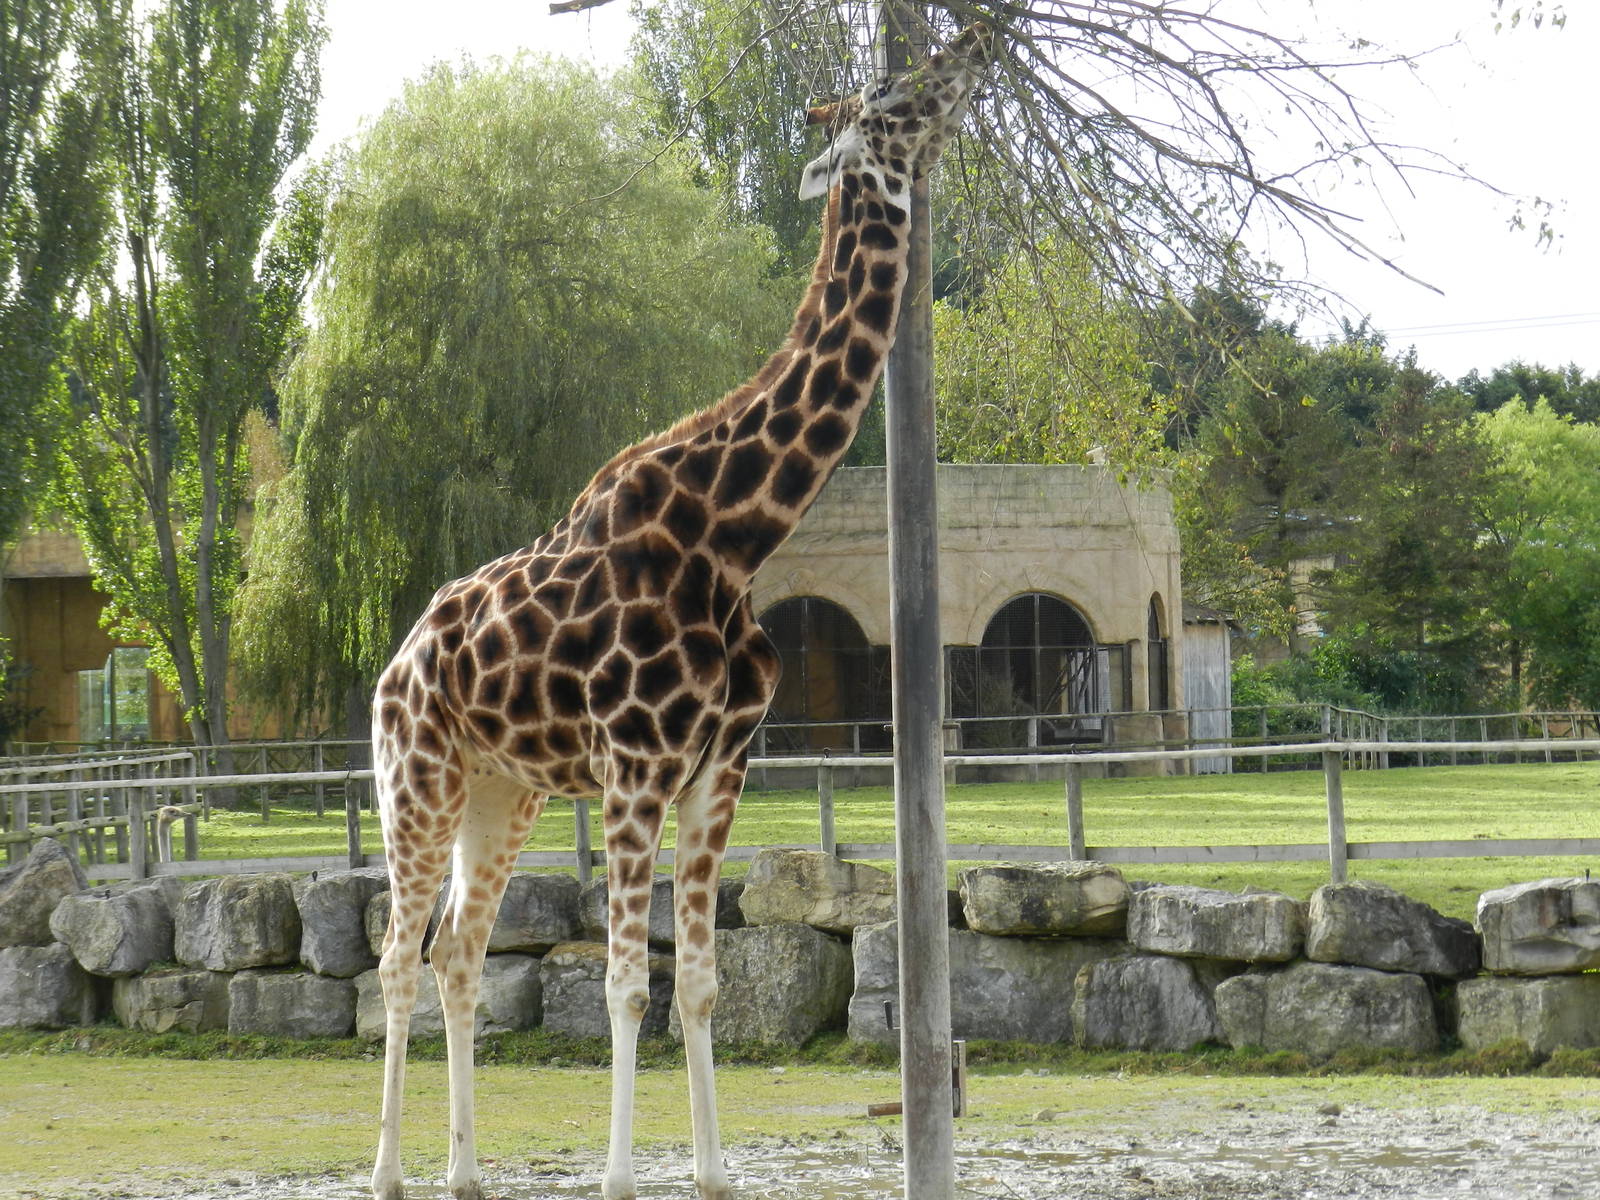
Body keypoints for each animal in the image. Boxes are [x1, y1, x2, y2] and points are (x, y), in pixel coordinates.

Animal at [367, 26, 989, 1200]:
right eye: (890, 90)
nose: (968, 51)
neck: (733, 536)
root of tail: (395, 664)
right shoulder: (636, 764)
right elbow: (624, 982)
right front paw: (619, 1177)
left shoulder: (718, 769)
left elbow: (699, 980)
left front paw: (713, 1174)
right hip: (415, 780)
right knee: (394, 956)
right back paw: (386, 1173)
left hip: (503, 791)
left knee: (459, 950)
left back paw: (465, 1173)